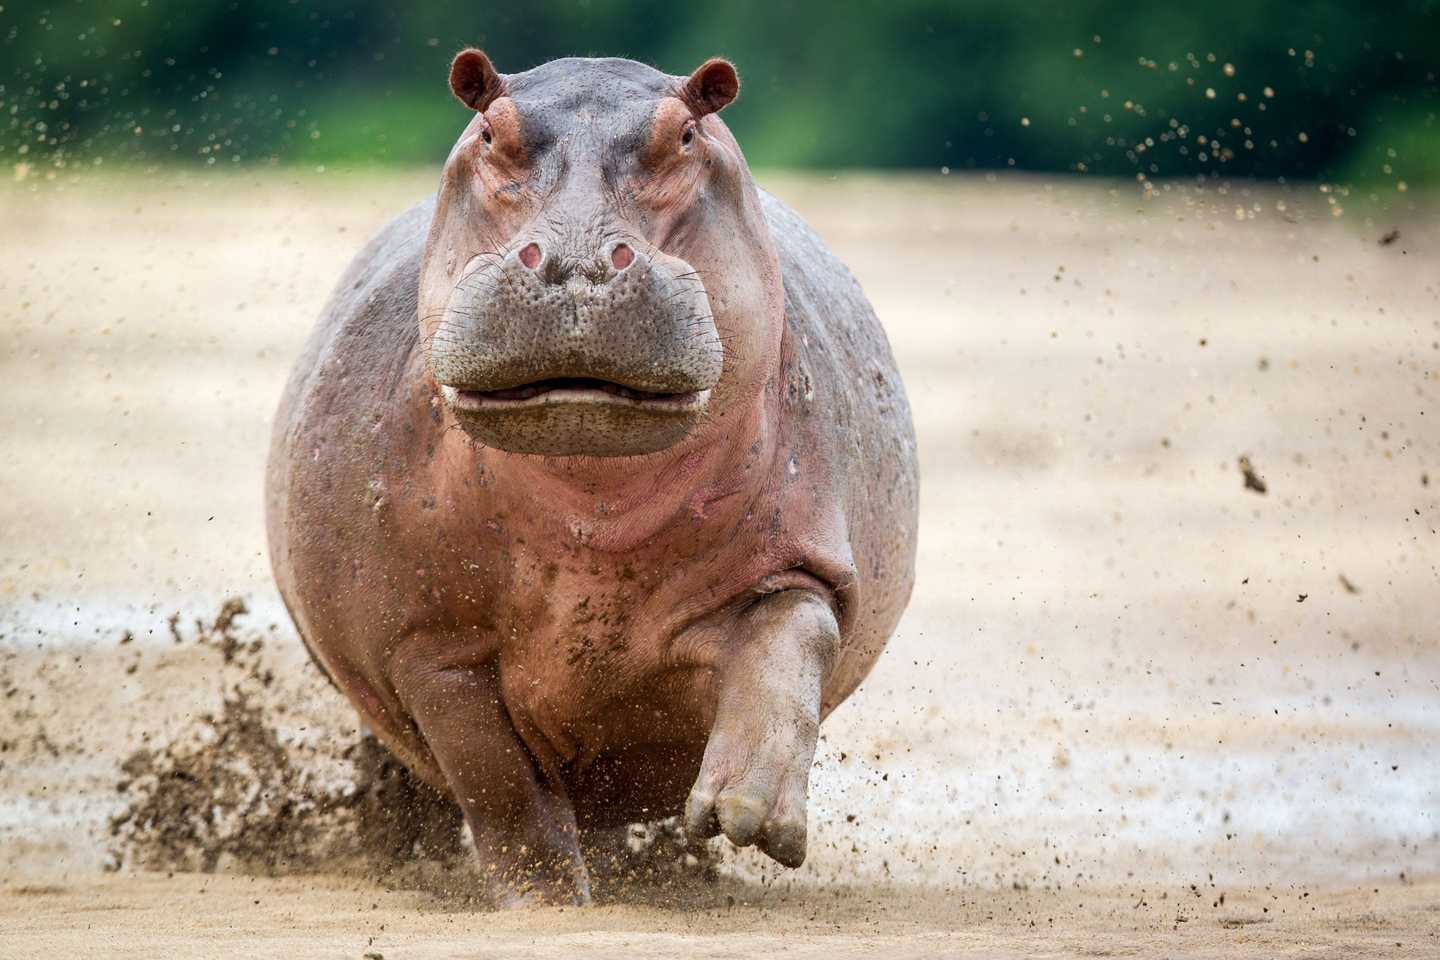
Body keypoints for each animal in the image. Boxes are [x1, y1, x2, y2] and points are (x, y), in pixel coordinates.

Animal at [265, 50, 917, 906]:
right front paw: (545, 902)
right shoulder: (428, 642)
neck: (594, 512)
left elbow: (788, 644)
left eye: (686, 135)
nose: (575, 263)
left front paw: (746, 816)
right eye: (488, 131)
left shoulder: (801, 560)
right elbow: (497, 782)